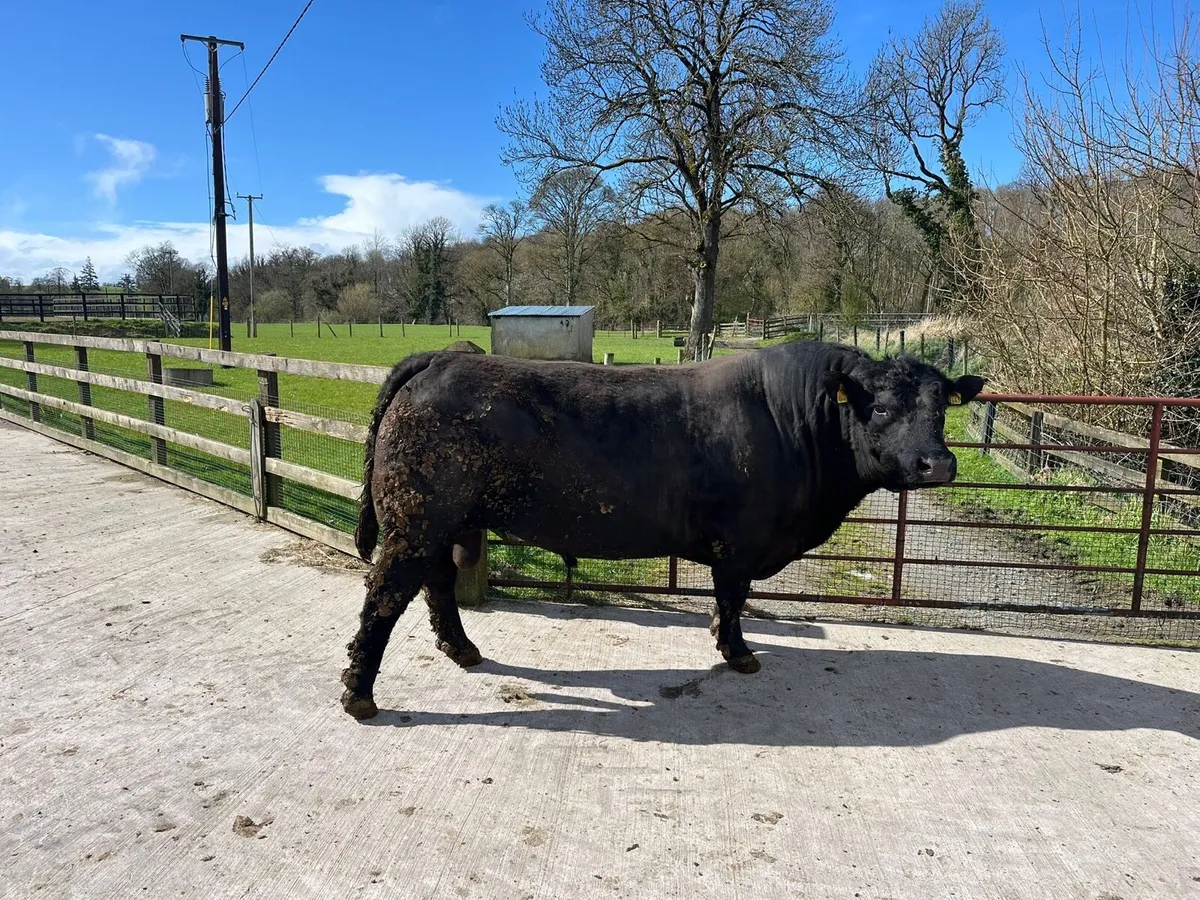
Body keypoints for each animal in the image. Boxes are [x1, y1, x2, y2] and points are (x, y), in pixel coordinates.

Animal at [341, 340, 984, 719]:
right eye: (881, 409)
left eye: (941, 409)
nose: (938, 463)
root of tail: (445, 356)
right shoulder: (741, 543)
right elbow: (733, 598)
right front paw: (738, 654)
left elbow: (726, 601)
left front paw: (723, 639)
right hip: (414, 523)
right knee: (384, 597)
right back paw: (359, 693)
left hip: (442, 523)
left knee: (438, 583)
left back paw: (462, 649)